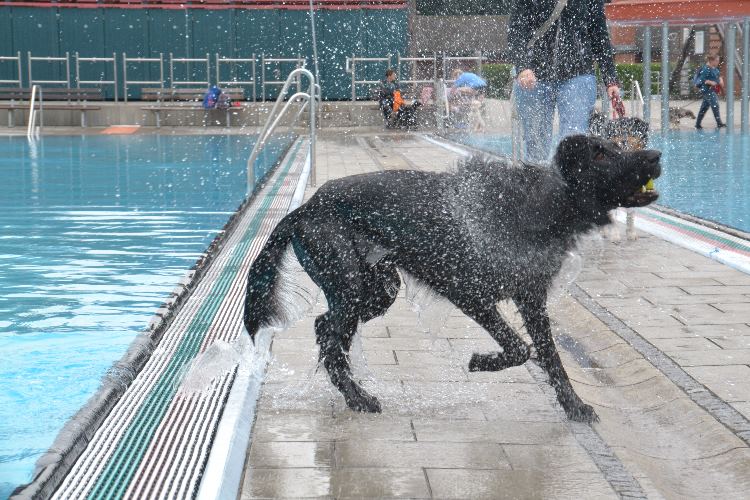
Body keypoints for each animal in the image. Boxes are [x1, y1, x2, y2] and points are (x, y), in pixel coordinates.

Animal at [245, 134, 664, 422]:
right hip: (349, 285)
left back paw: (351, 391)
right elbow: (520, 349)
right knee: (331, 339)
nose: (655, 155)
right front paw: (481, 361)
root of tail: (305, 208)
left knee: (324, 329)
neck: (541, 205)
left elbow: (550, 357)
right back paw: (358, 398)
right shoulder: (470, 293)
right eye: (600, 153)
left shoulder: (531, 300)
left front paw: (574, 405)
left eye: (616, 144)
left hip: (378, 289)